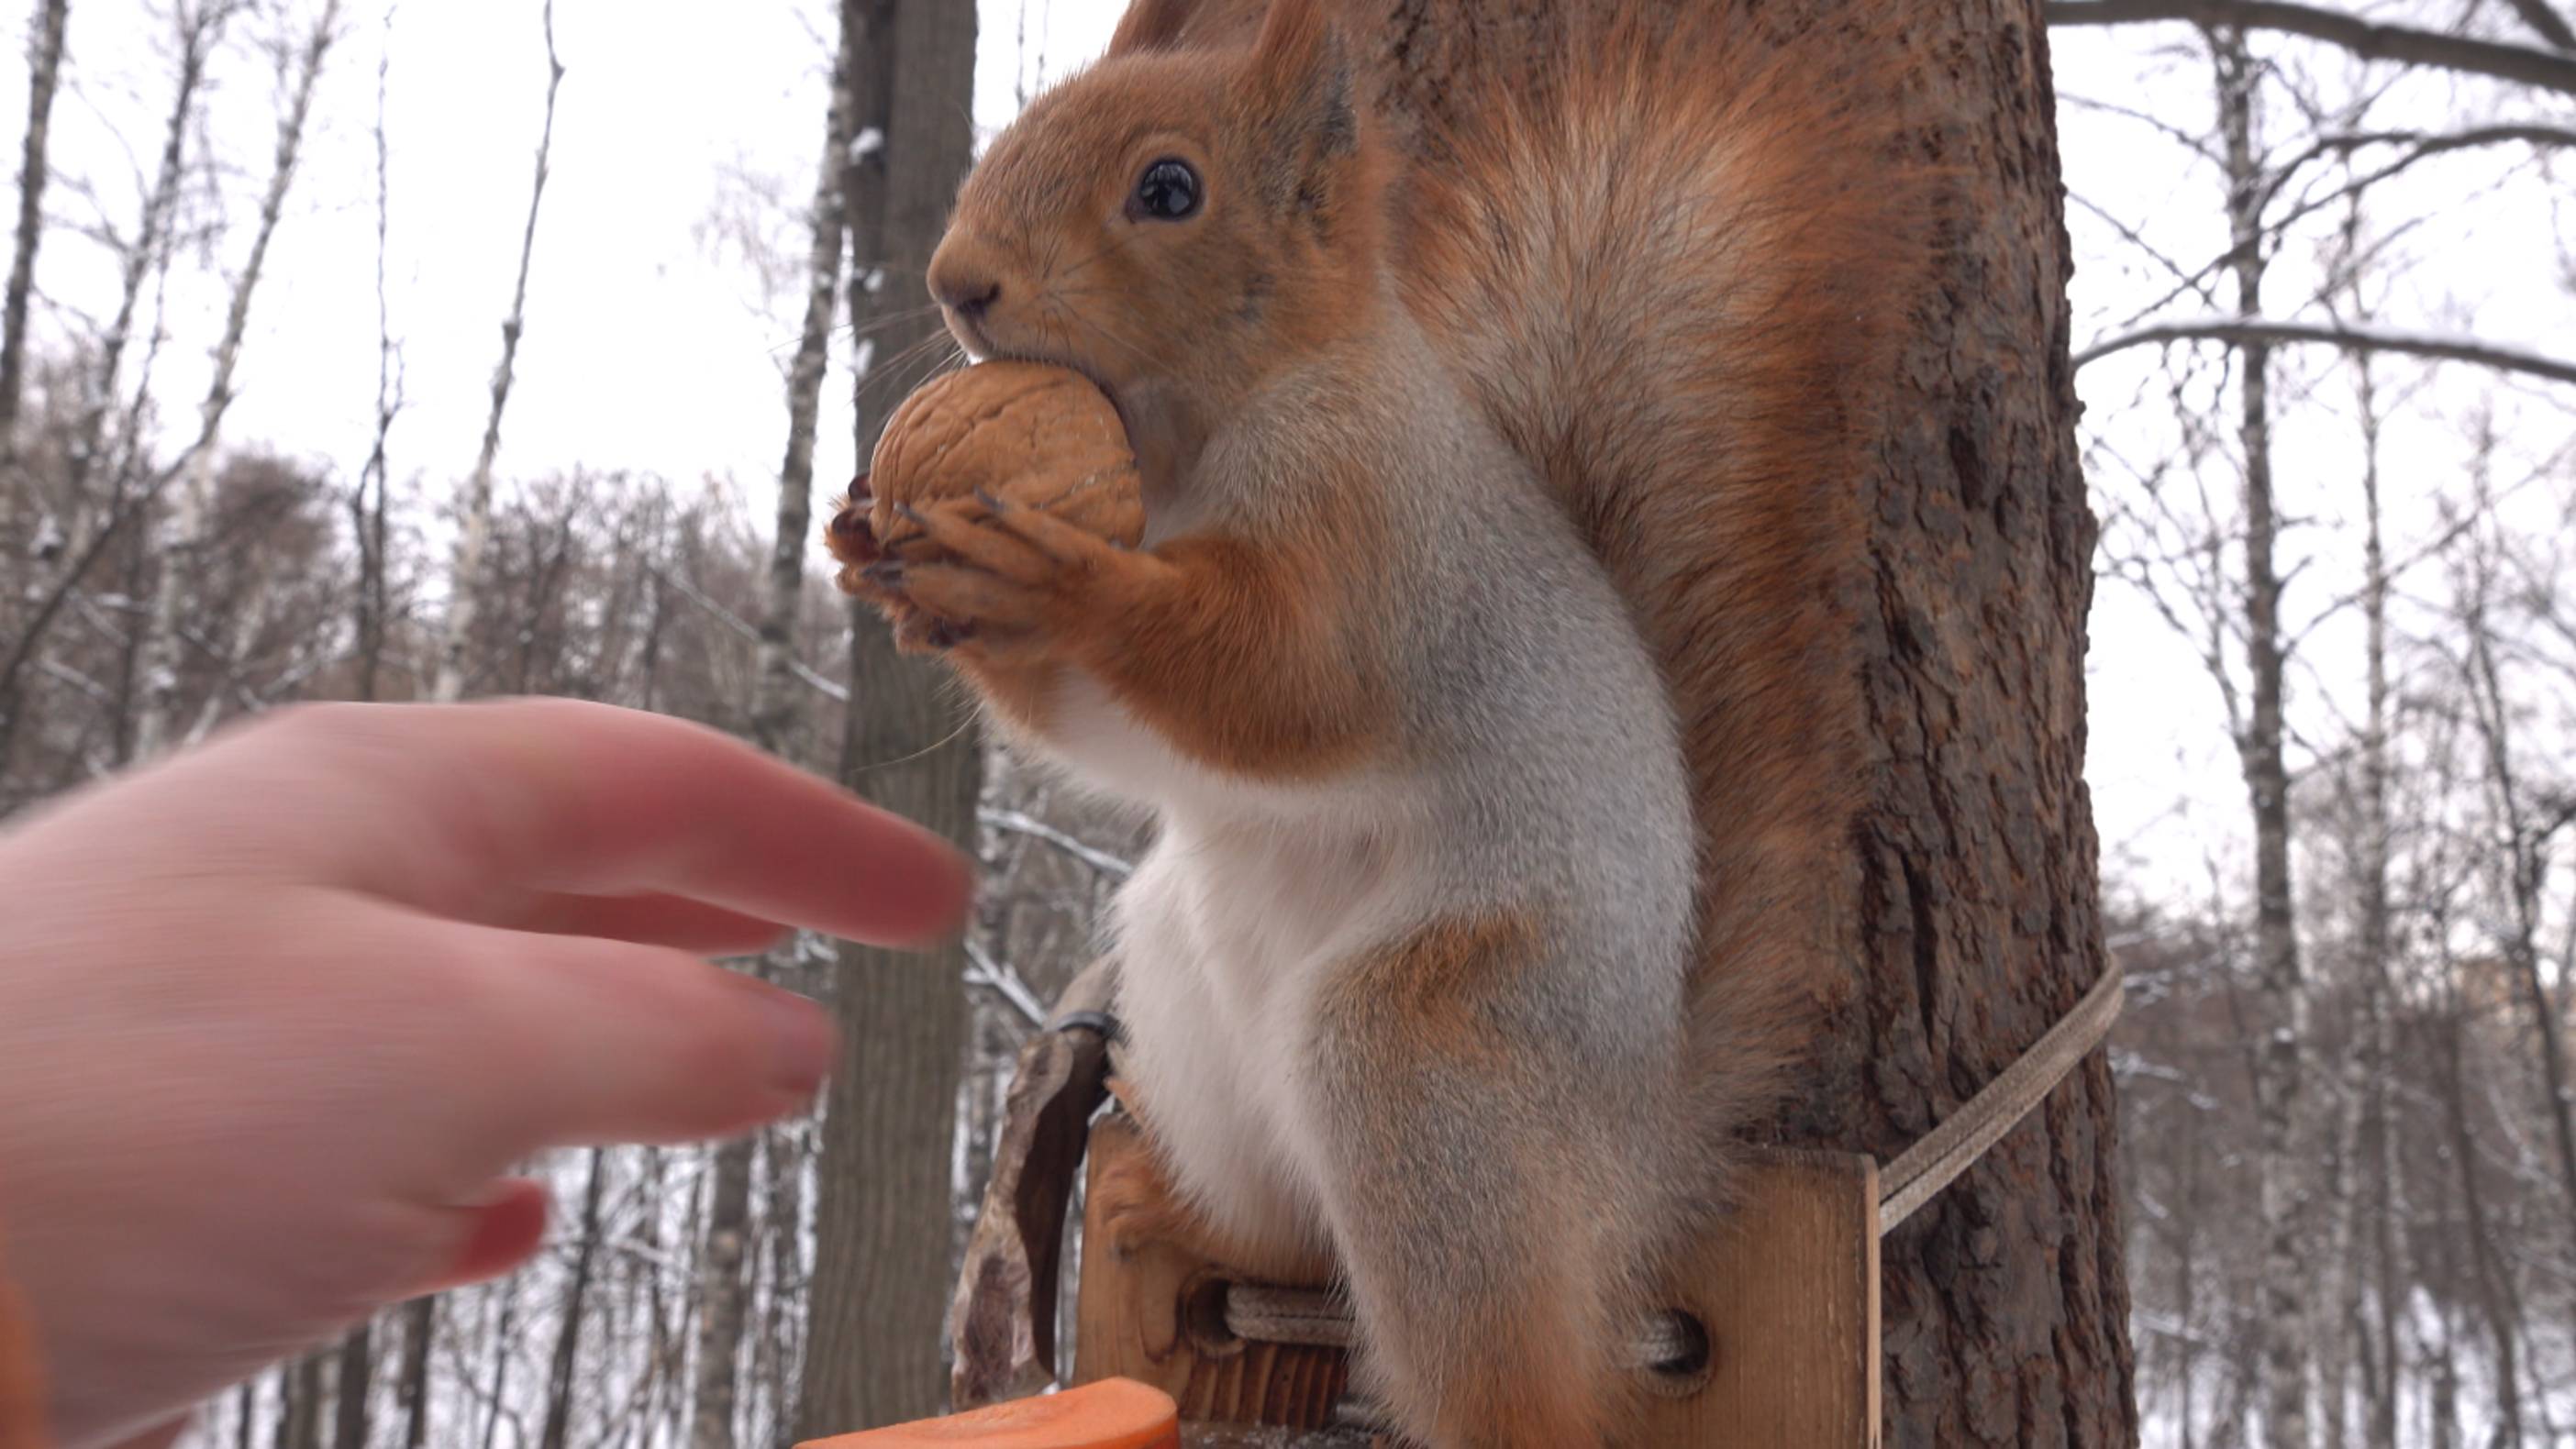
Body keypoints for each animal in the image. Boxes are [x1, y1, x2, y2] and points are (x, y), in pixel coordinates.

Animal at [855, 6, 1926, 1441]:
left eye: (1169, 190)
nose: (957, 283)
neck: (1182, 443)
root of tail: (1634, 1161)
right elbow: (1103, 729)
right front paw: (886, 560)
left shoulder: (1371, 537)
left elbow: (1278, 680)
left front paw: (1060, 581)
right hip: (1186, 997)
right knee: (1278, 1226)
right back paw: (1150, 1189)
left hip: (1427, 1051)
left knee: (1515, 1371)